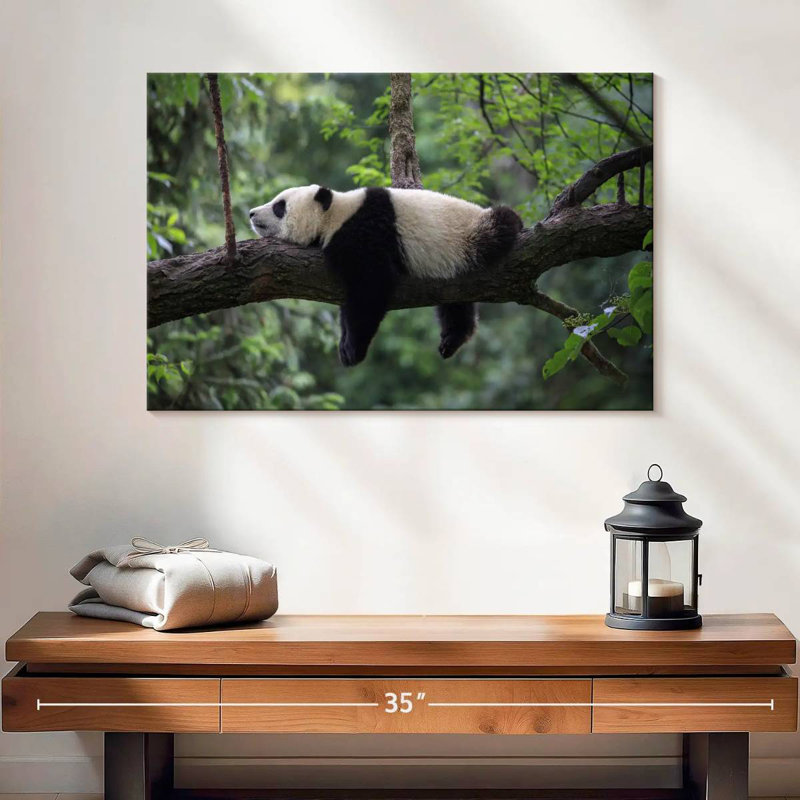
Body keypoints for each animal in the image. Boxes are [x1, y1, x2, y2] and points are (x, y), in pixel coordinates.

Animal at [249, 185, 522, 367]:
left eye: (279, 206)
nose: (251, 213)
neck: (336, 213)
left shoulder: (365, 233)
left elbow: (370, 288)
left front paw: (352, 350)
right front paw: (344, 344)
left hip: (471, 234)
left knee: (501, 224)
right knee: (455, 303)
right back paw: (452, 339)